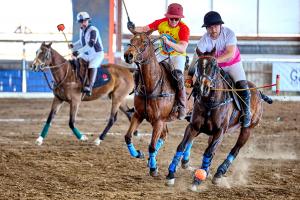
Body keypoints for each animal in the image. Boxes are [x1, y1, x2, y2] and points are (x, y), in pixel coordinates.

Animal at [122, 30, 183, 177]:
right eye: (131, 40)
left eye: (144, 42)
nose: (128, 55)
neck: (152, 85)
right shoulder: (138, 115)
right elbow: (128, 136)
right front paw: (139, 154)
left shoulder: (159, 121)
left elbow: (152, 146)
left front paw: (153, 168)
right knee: (165, 135)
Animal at [165, 47, 274, 191]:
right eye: (198, 66)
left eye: (215, 66)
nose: (204, 88)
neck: (210, 103)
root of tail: (259, 92)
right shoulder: (194, 127)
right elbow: (182, 146)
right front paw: (171, 174)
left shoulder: (219, 131)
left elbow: (208, 152)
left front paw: (197, 180)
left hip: (247, 129)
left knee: (235, 150)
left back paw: (219, 173)